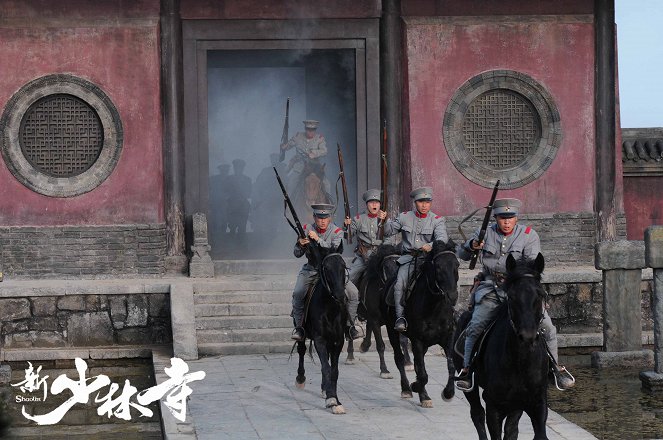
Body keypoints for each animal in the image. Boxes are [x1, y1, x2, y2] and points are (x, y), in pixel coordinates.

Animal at [294, 242, 350, 414]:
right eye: (326, 268)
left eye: (343, 266)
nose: (340, 296)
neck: (330, 308)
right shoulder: (320, 339)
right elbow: (326, 367)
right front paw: (331, 400)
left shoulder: (338, 341)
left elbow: (334, 370)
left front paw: (335, 399)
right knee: (301, 350)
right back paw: (300, 378)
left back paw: (325, 387)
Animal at [344, 244, 412, 374]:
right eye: (386, 267)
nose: (395, 287)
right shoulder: (375, 319)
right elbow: (381, 345)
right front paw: (384, 370)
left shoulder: (397, 321)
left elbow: (403, 340)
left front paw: (408, 363)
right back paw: (350, 356)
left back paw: (364, 346)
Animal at [386, 239, 460, 408]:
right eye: (438, 267)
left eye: (457, 264)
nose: (452, 296)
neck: (434, 307)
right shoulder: (417, 341)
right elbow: (423, 374)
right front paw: (415, 386)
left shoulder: (448, 338)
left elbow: (451, 366)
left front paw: (448, 393)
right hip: (392, 331)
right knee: (400, 359)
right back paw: (408, 389)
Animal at [454, 253, 552, 438]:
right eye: (511, 296)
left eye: (540, 295)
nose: (527, 336)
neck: (520, 362)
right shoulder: (493, 405)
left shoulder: (537, 403)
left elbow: (536, 434)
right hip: (470, 385)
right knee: (477, 413)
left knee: (511, 428)